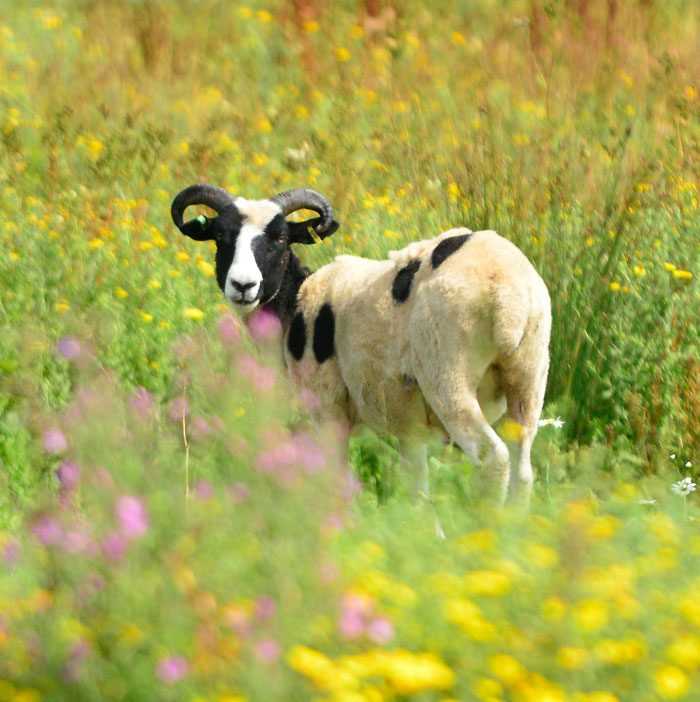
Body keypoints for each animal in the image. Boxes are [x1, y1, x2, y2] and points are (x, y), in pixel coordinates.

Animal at [171, 182, 552, 512]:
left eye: (280, 237)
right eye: (221, 236)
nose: (243, 285)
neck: (296, 300)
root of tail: (507, 292)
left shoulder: (327, 410)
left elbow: (338, 483)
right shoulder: (409, 430)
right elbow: (418, 491)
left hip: (448, 377)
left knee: (492, 458)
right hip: (529, 378)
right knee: (523, 468)